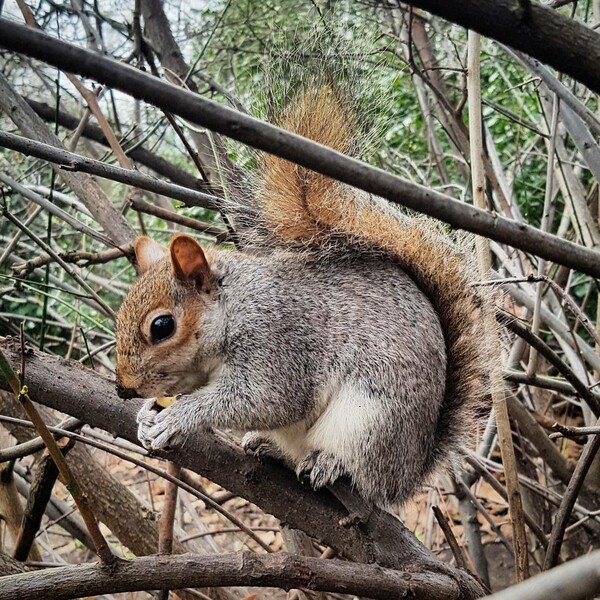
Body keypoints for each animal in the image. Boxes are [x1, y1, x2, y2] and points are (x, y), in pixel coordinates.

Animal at [115, 84, 490, 506]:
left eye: (162, 327)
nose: (123, 387)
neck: (234, 309)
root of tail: (408, 476)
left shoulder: (278, 344)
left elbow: (263, 399)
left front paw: (178, 417)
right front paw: (146, 414)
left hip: (369, 422)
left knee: (362, 475)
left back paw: (330, 463)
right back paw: (267, 447)